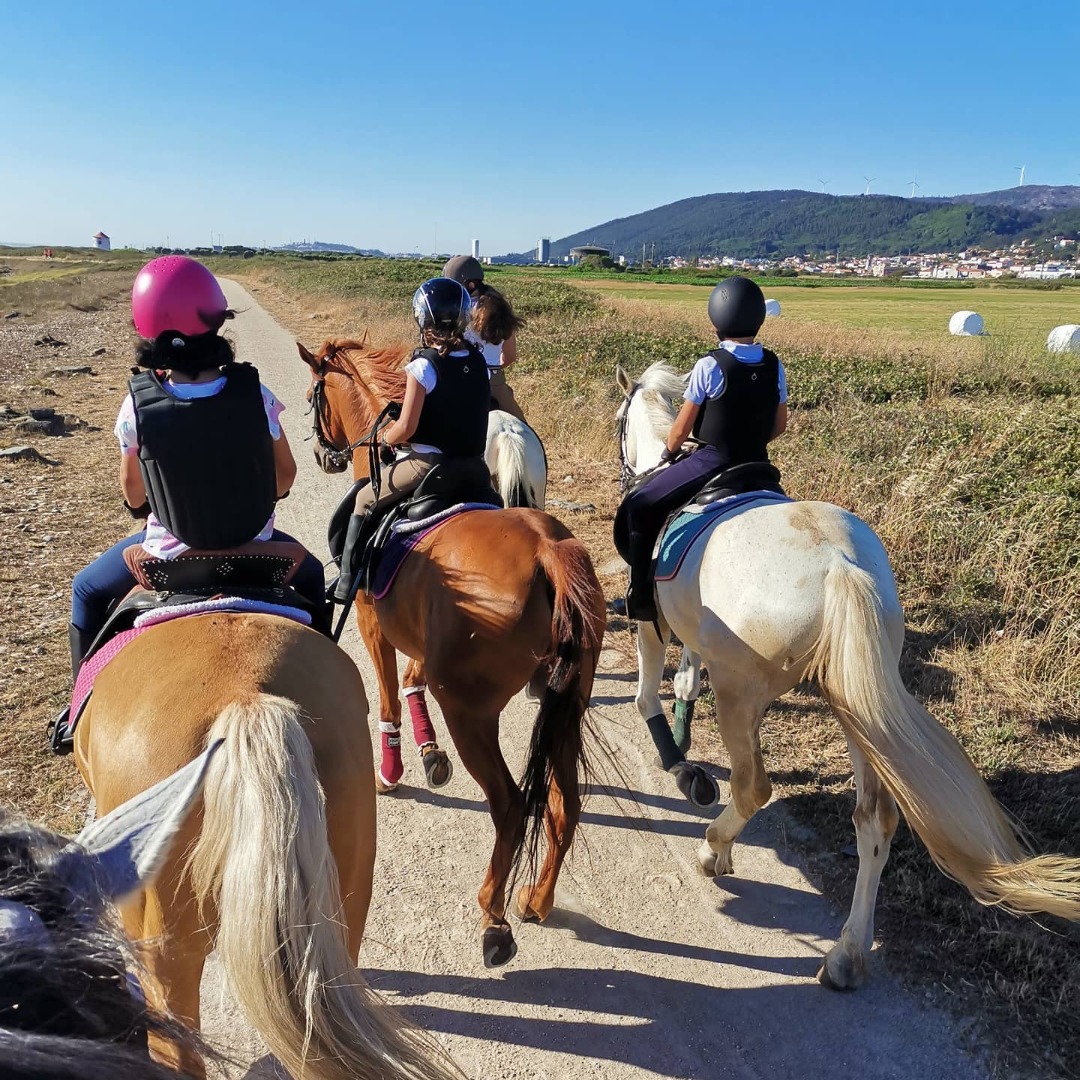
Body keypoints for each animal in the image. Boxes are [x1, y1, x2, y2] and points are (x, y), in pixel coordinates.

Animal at [298, 339, 609, 972]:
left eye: (315, 396)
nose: (322, 454)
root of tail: (549, 550)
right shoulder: (420, 638)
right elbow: (413, 681)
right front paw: (427, 751)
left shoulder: (372, 621)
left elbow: (388, 696)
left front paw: (393, 769)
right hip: (566, 702)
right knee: (564, 802)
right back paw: (536, 900)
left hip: (472, 711)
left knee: (512, 806)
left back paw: (494, 916)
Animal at [617, 360, 1080, 989]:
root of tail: (838, 565)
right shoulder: (694, 632)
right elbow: (686, 681)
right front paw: (686, 748)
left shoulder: (655, 622)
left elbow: (649, 695)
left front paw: (682, 766)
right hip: (857, 706)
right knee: (875, 822)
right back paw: (847, 953)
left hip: (747, 694)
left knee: (754, 786)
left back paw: (715, 848)